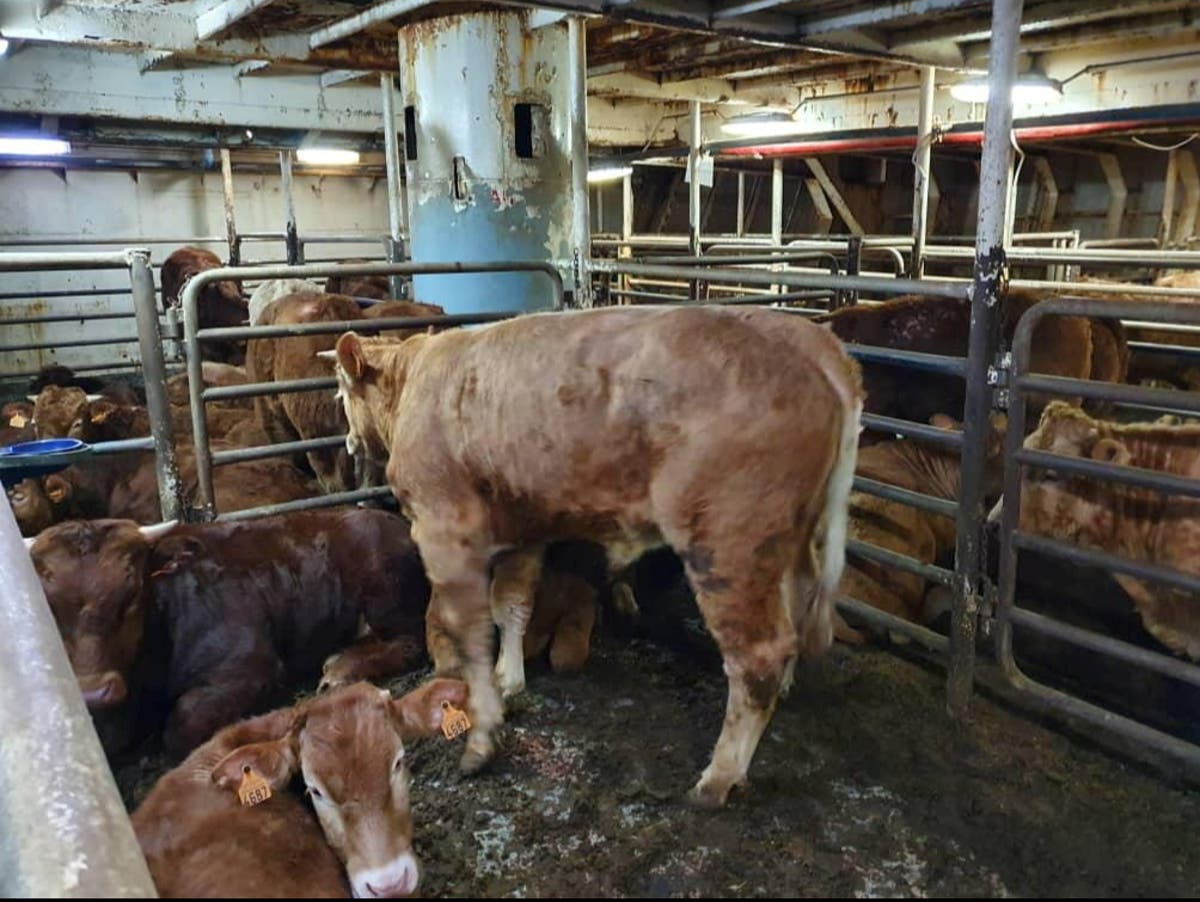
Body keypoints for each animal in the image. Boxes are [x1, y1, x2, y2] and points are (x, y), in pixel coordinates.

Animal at [28, 508, 434, 753]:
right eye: (49, 605)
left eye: (130, 596)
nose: (94, 691)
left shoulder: (251, 664)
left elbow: (181, 725)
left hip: (386, 591)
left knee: (412, 641)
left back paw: (341, 668)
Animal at [328, 307, 864, 806]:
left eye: (341, 394)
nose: (349, 442)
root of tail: (815, 345)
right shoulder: (524, 529)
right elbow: (512, 604)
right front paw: (510, 677)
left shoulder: (443, 529)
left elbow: (471, 634)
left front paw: (482, 736)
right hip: (792, 535)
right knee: (796, 610)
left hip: (728, 541)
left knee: (757, 656)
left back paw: (718, 779)